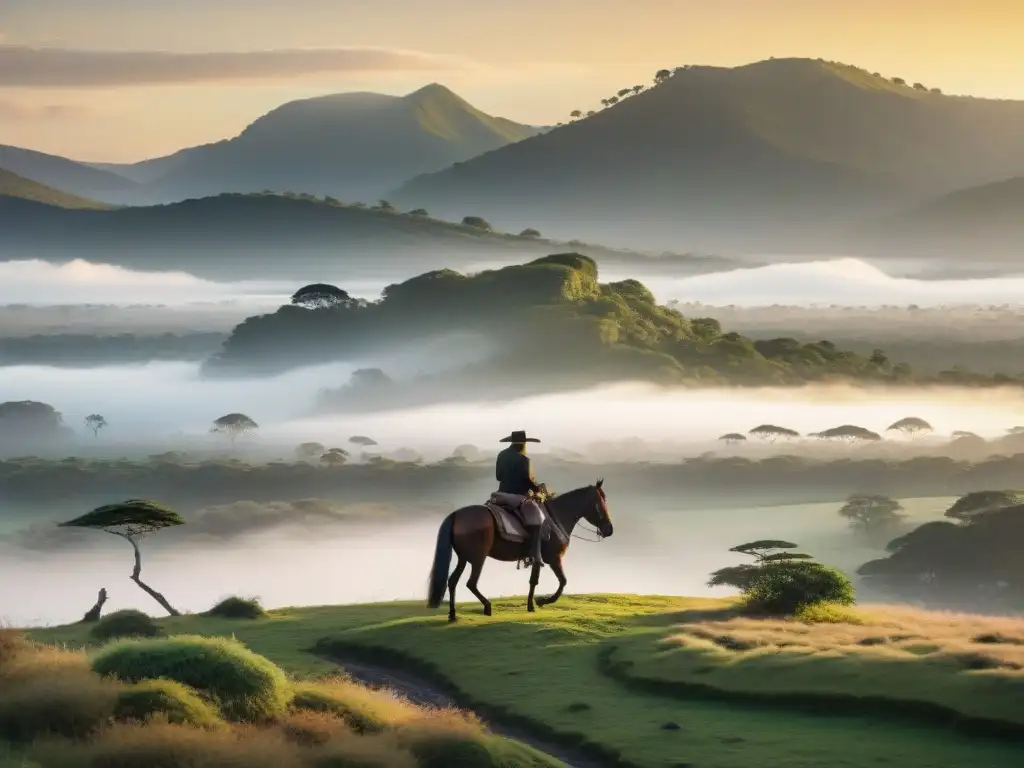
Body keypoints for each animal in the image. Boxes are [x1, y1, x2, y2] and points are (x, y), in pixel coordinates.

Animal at [425, 481, 610, 626]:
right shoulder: (553, 559)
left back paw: (453, 615)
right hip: (478, 558)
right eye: (599, 503)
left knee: (452, 582)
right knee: (471, 583)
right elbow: (563, 582)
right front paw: (542, 601)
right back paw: (487, 606)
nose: (609, 529)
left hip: (463, 559)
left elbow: (533, 581)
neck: (556, 517)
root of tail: (456, 515)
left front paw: (531, 605)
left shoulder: (538, 559)